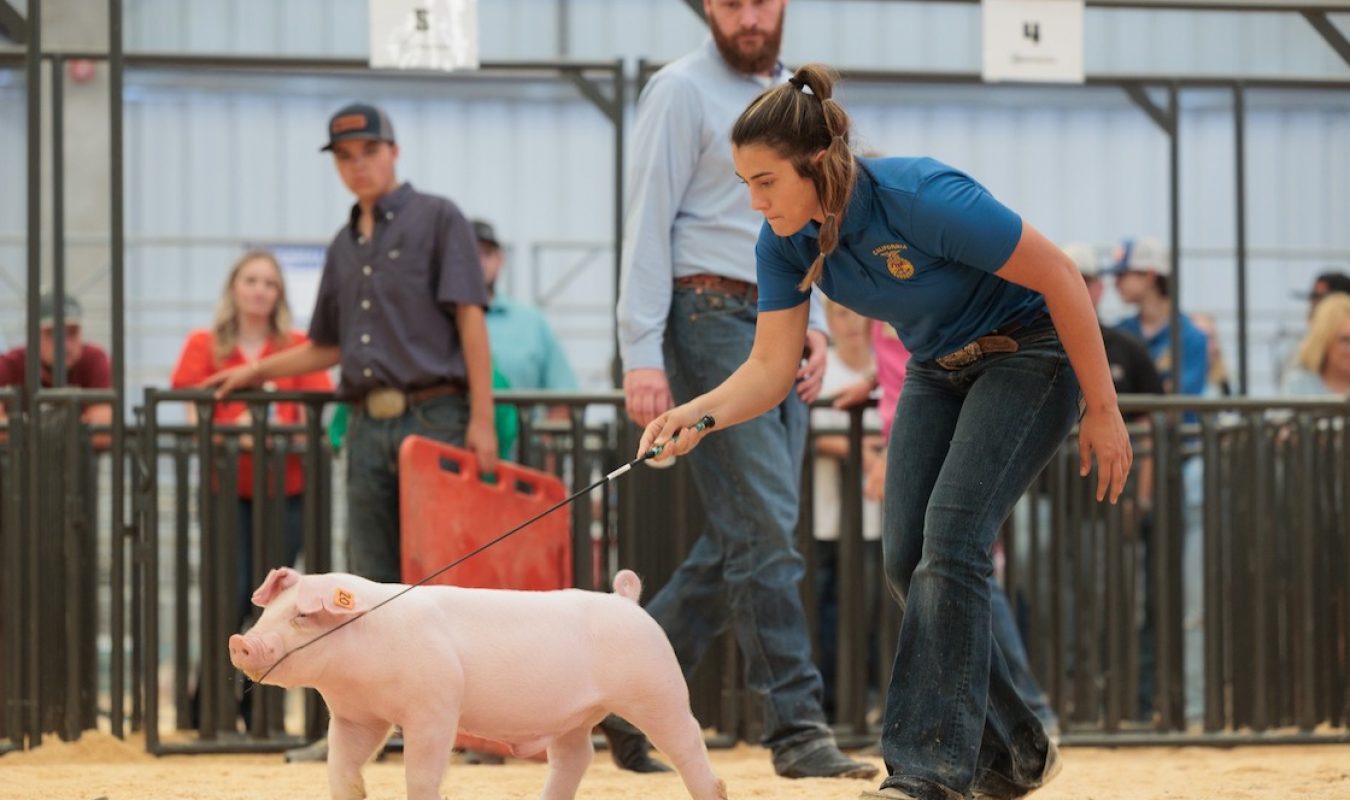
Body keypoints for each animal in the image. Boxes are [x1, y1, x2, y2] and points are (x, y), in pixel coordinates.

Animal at [229, 563, 729, 798]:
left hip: (658, 689)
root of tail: (627, 600)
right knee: (576, 758)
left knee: (687, 745)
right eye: (268, 612)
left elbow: (421, 774)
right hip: (576, 718)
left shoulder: (434, 708)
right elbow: (342, 769)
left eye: (301, 617)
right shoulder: (358, 717)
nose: (241, 641)